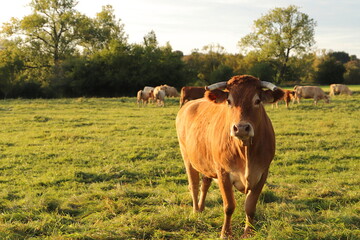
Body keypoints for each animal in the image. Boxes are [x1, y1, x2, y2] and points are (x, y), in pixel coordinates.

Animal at [176, 75, 284, 238]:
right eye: (229, 101)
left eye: (257, 100)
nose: (241, 128)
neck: (245, 150)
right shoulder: (223, 173)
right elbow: (229, 206)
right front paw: (225, 233)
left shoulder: (262, 173)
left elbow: (250, 206)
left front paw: (249, 232)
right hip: (187, 157)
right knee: (193, 185)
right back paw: (196, 210)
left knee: (205, 183)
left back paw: (201, 207)